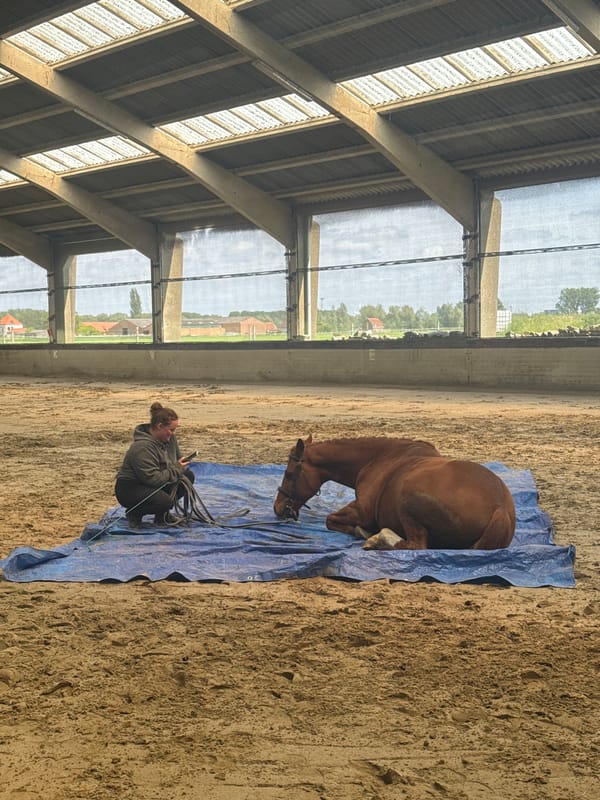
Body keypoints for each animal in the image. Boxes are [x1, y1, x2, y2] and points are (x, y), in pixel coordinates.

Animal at [273, 436, 516, 550]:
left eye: (290, 473)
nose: (277, 508)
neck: (379, 459)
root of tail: (501, 507)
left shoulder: (362, 510)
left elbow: (330, 520)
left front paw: (362, 532)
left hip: (408, 503)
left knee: (415, 545)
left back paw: (378, 540)